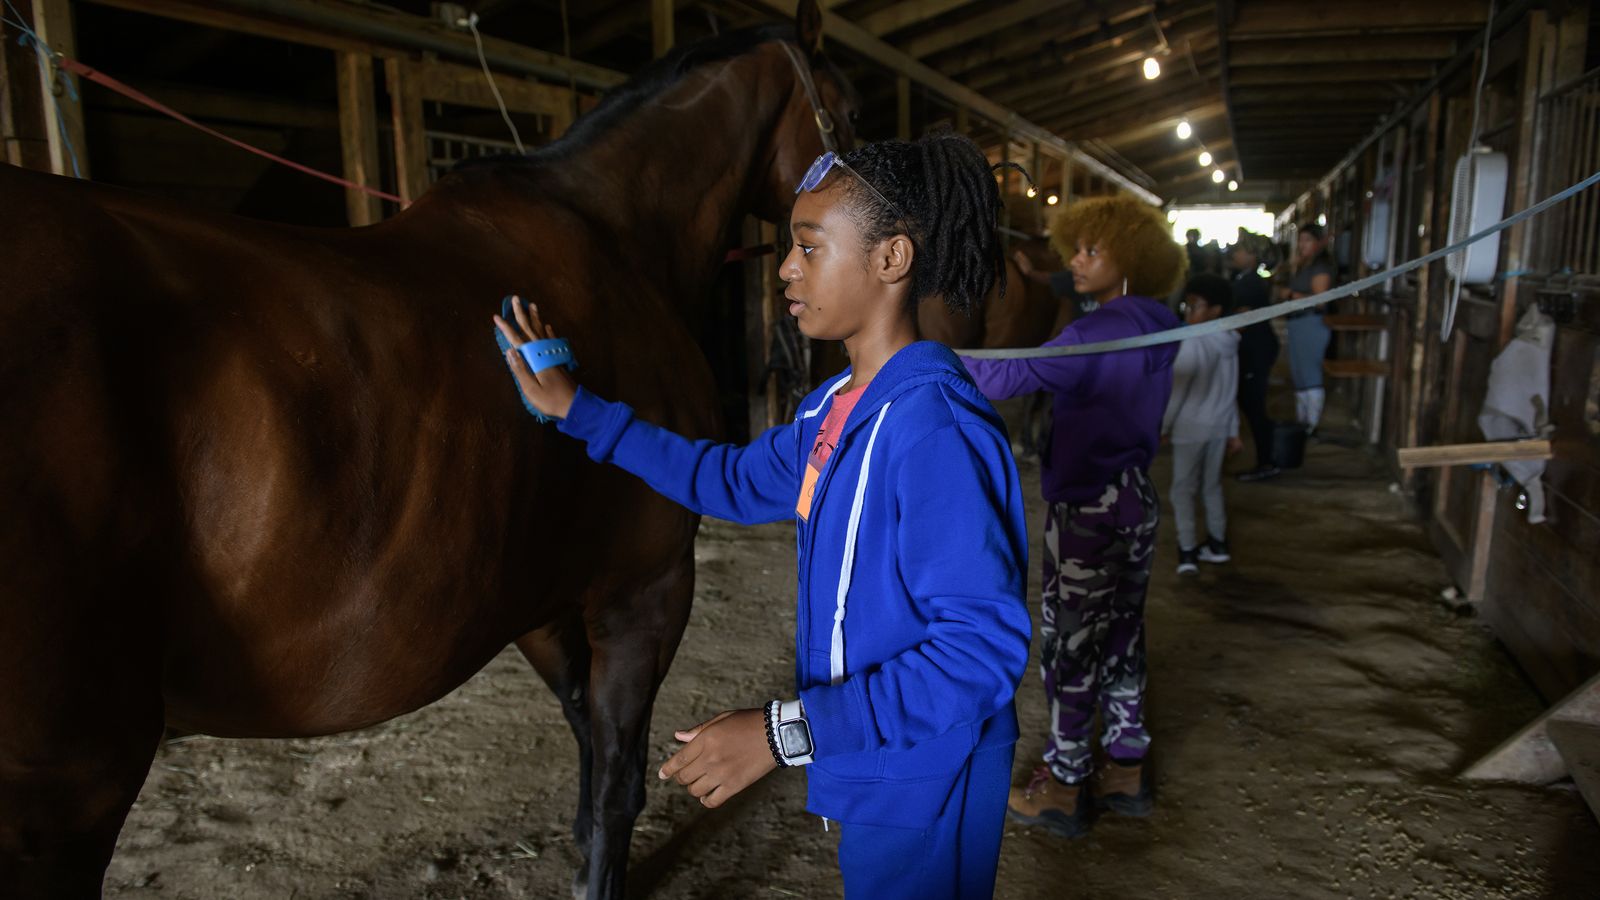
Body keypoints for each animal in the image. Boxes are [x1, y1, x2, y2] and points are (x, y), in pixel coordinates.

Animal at [0, 3, 857, 890]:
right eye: (850, 110)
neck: (614, 239)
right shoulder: (643, 590)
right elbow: (618, 771)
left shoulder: (543, 599)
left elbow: (583, 728)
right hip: (68, 790)